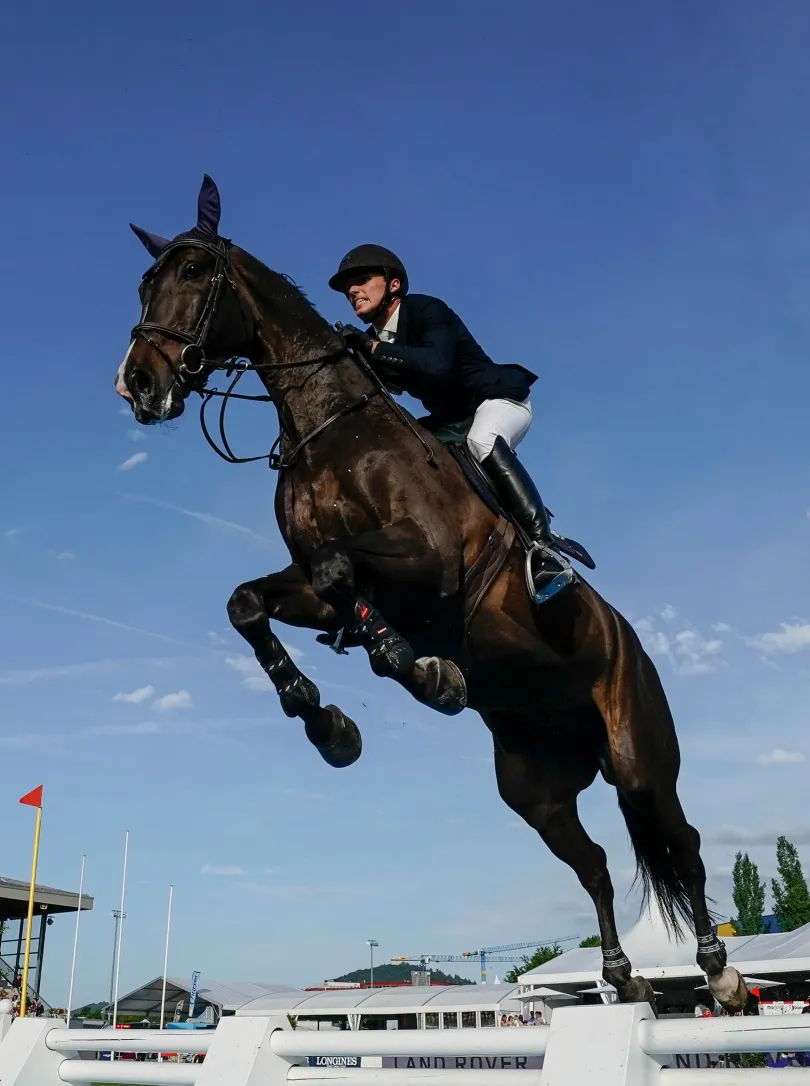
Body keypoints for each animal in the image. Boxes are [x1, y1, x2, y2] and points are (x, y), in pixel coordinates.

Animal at [113, 173, 751, 1012]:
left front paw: (419, 671)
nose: (137, 383)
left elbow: (344, 574)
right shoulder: (310, 586)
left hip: (637, 751)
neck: (329, 427)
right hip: (535, 784)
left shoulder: (429, 562)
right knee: (594, 863)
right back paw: (622, 976)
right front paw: (327, 722)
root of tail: (631, 646)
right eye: (145, 282)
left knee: (682, 841)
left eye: (192, 273)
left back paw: (721, 971)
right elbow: (252, 602)